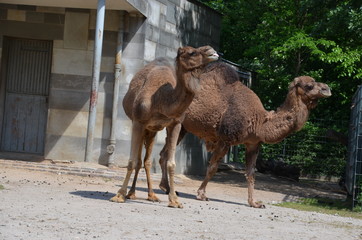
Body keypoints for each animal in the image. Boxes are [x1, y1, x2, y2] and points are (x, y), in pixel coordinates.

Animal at [109, 46, 218, 207]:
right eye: (192, 52)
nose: (213, 51)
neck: (161, 100)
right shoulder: (138, 121)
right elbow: (131, 161)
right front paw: (119, 195)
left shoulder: (175, 123)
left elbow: (171, 163)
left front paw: (175, 200)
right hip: (142, 126)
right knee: (139, 160)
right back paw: (131, 193)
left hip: (152, 130)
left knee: (146, 161)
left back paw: (151, 195)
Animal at [158, 62, 330, 208]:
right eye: (309, 85)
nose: (327, 89)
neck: (260, 122)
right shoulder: (225, 138)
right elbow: (213, 167)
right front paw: (201, 194)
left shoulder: (253, 144)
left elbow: (251, 173)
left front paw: (255, 203)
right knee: (165, 152)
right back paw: (166, 188)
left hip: (182, 126)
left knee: (163, 153)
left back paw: (166, 188)